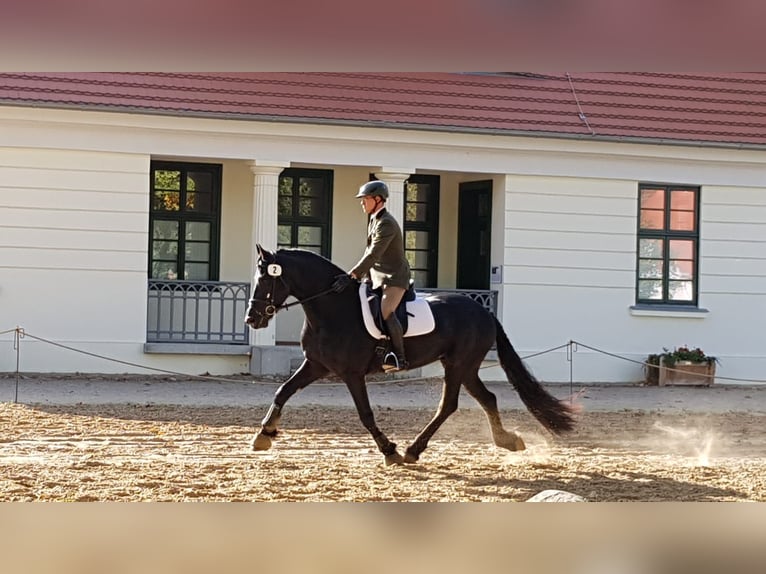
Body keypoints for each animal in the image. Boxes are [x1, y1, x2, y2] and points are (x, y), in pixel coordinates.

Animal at [246, 245, 576, 466]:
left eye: (265, 280)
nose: (252, 319)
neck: (333, 308)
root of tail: (484, 311)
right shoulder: (315, 365)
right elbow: (282, 391)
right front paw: (264, 434)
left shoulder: (351, 373)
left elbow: (365, 414)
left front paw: (389, 451)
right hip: (465, 367)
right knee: (487, 399)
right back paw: (508, 440)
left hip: (459, 365)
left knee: (449, 405)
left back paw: (412, 450)